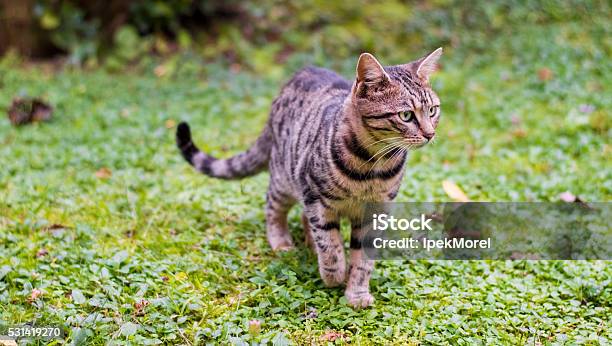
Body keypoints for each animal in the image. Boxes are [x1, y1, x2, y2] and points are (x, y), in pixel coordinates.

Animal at [175, 48, 442, 308]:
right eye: (406, 115)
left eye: (432, 110)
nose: (430, 134)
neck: (372, 166)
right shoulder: (316, 197)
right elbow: (330, 244)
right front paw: (334, 274)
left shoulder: (376, 212)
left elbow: (363, 258)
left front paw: (356, 292)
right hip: (285, 179)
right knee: (273, 208)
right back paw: (282, 242)